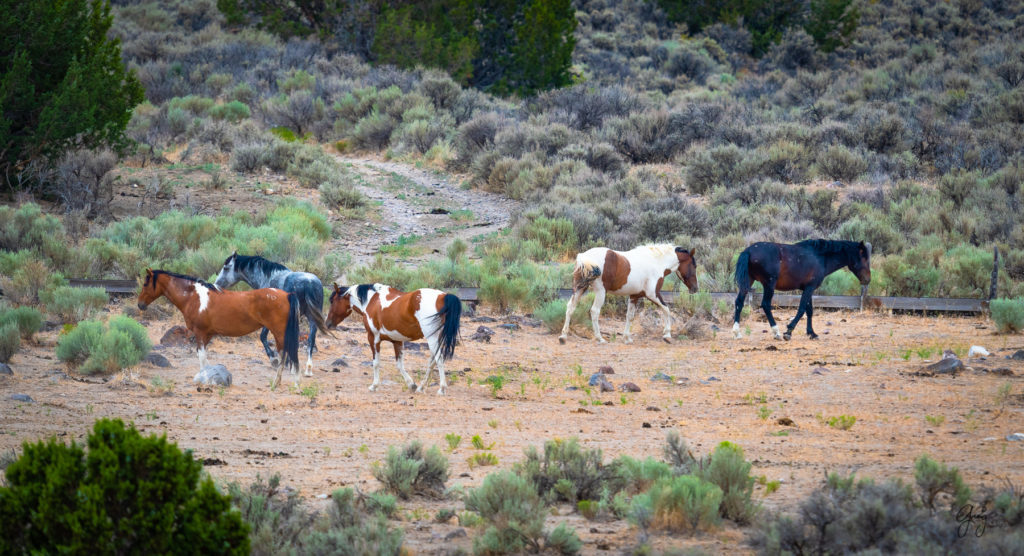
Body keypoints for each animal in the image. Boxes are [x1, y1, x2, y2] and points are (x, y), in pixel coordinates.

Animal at [135, 270, 299, 387]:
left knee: (284, 355)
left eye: (145, 284)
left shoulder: (200, 333)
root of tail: (287, 295)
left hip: (279, 333)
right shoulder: (207, 335)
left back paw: (279, 383)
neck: (194, 298)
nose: (140, 304)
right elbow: (204, 359)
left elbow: (202, 357)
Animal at [327, 282, 464, 395]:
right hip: (437, 338)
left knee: (439, 360)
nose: (328, 323)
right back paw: (421, 388)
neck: (372, 301)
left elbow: (376, 363)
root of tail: (443, 296)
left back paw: (442, 389)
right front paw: (411, 384)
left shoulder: (373, 338)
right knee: (432, 362)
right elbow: (399, 365)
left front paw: (374, 386)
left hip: (432, 338)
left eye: (332, 301)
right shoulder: (397, 341)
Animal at [557, 244, 700, 344]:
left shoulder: (634, 296)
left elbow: (629, 316)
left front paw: (627, 338)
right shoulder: (653, 294)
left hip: (580, 288)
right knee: (594, 311)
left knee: (570, 308)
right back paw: (600, 338)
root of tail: (584, 257)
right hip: (600, 292)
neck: (655, 262)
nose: (695, 288)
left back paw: (563, 336)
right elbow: (666, 310)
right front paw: (667, 335)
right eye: (694, 265)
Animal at [729, 238, 872, 341]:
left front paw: (812, 333)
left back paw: (737, 333)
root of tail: (748, 251)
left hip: (748, 282)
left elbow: (809, 311)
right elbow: (802, 309)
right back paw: (776, 332)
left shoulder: (808, 289)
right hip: (769, 285)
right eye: (864, 257)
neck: (820, 257)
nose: (868, 279)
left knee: (739, 303)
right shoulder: (809, 288)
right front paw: (788, 331)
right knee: (765, 305)